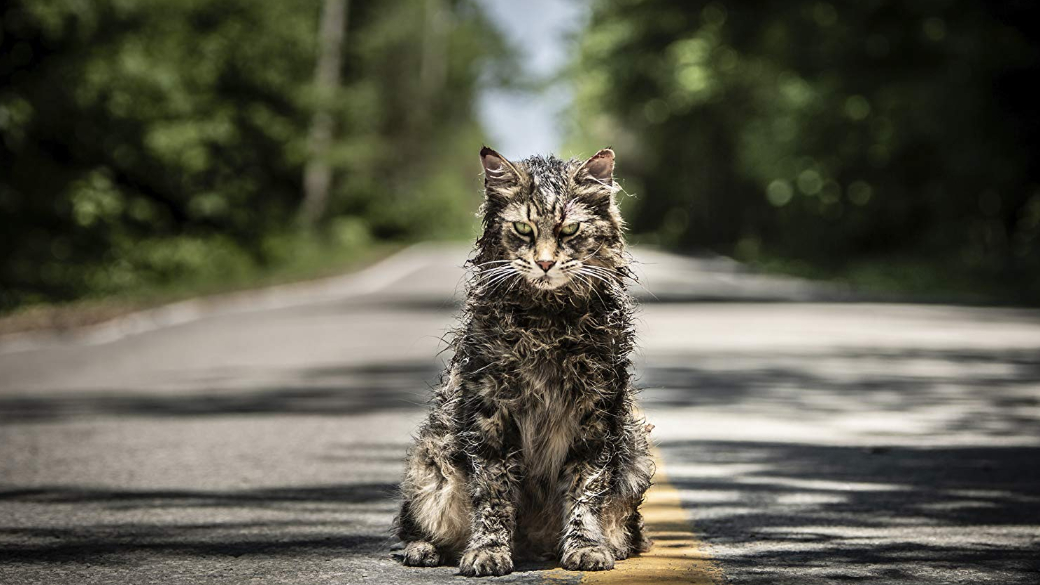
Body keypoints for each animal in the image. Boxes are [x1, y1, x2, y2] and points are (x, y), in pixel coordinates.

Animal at [393, 145, 653, 574]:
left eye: (569, 231)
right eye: (523, 230)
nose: (545, 263)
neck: (547, 323)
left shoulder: (596, 413)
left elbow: (585, 490)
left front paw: (585, 546)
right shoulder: (490, 413)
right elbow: (494, 493)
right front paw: (488, 551)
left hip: (636, 455)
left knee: (626, 528)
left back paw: (606, 545)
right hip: (430, 462)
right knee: (414, 524)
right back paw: (424, 549)